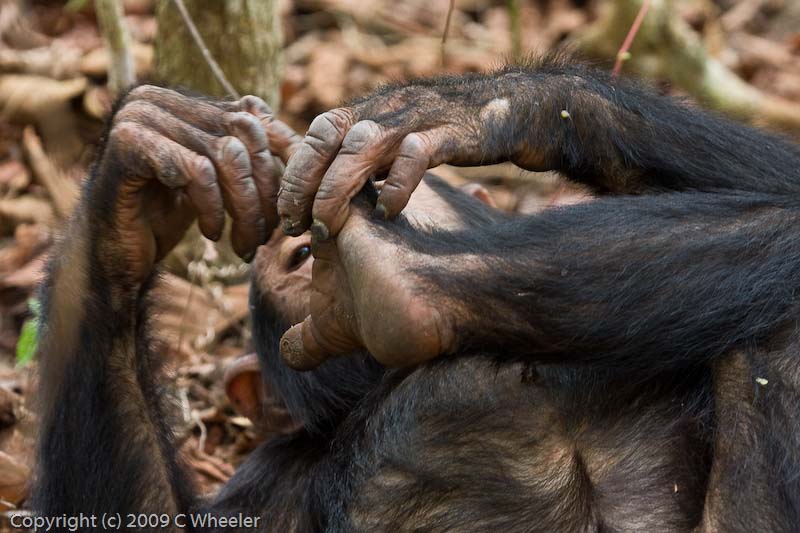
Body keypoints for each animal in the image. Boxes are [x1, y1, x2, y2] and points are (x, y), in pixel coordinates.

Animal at [28, 56, 800, 528]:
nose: (299, 249)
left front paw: (468, 109)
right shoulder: (275, 481)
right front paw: (129, 189)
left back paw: (392, 278)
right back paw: (397, 288)